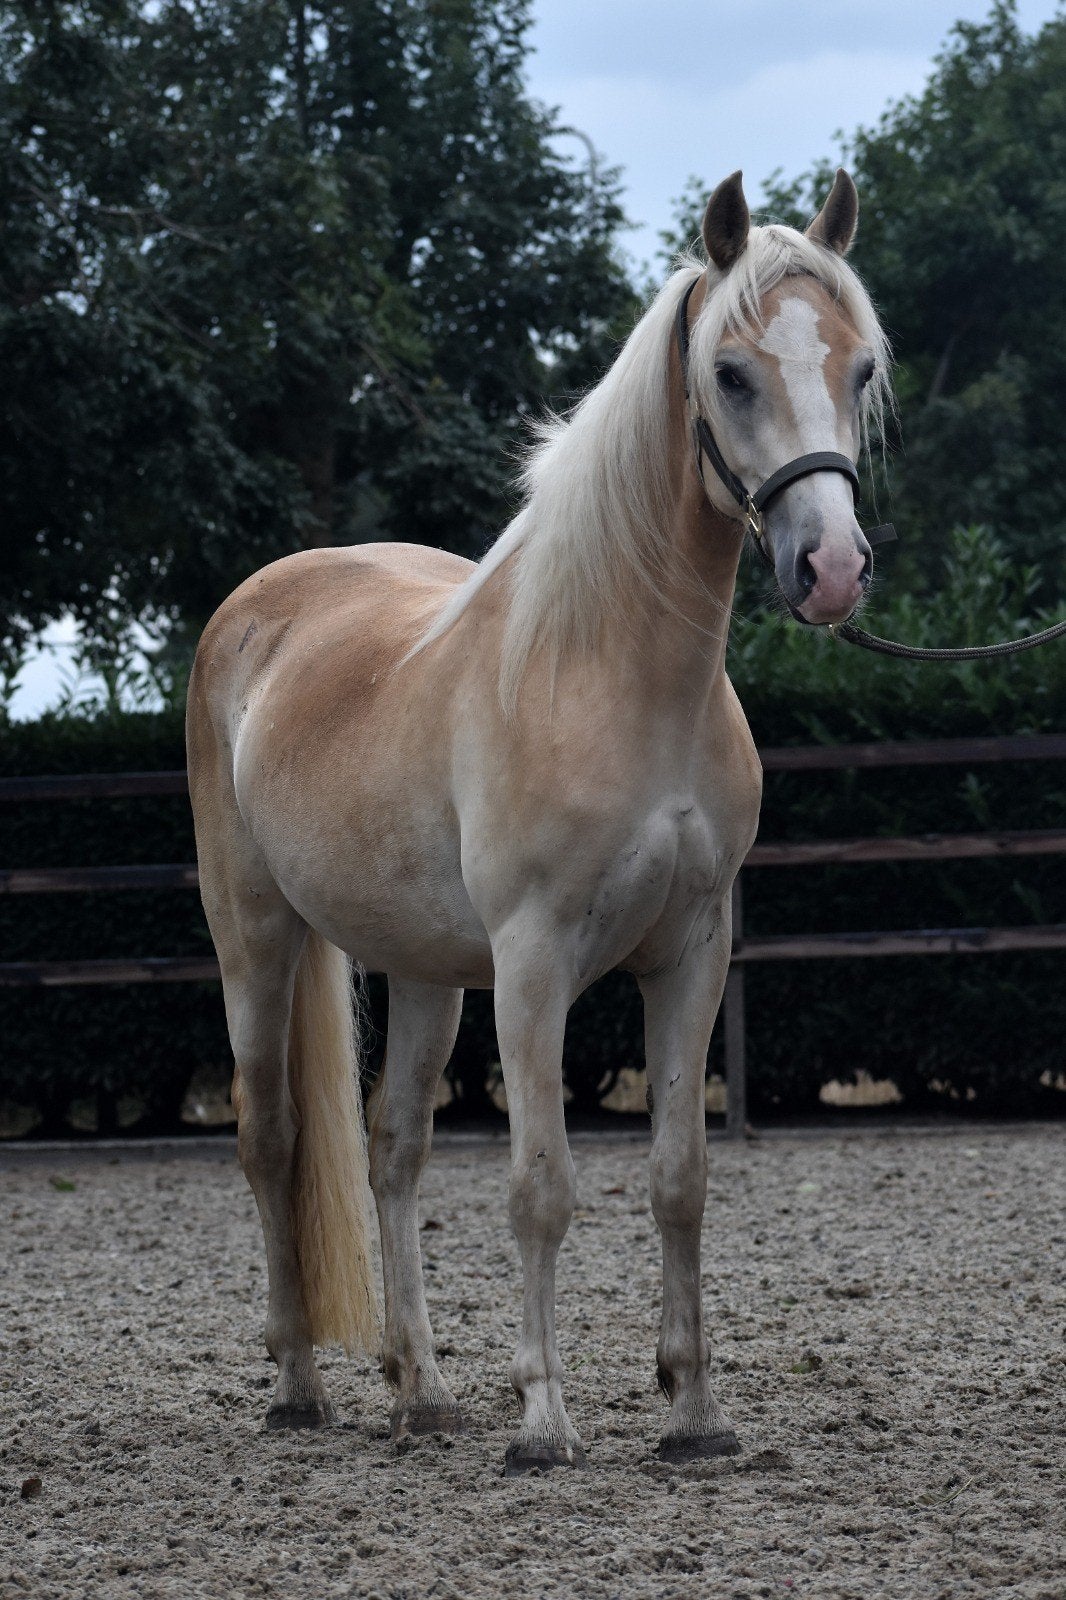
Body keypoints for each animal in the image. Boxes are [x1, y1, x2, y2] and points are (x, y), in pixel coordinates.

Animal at [186, 168, 893, 1471]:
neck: (613, 674)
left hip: (422, 970)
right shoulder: (532, 964)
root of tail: (260, 607)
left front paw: (694, 1414)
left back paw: (420, 1391)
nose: (829, 569)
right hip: (255, 938)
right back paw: (299, 1388)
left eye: (859, 366)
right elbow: (541, 1186)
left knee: (392, 1148)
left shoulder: (691, 954)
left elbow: (677, 1177)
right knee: (275, 1142)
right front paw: (543, 1421)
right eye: (730, 373)